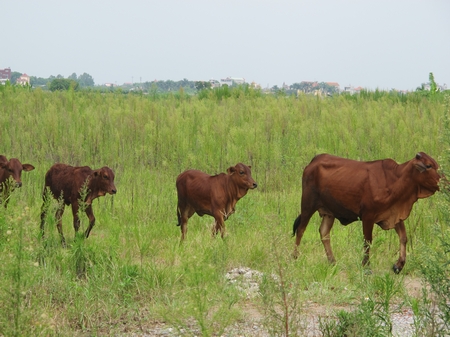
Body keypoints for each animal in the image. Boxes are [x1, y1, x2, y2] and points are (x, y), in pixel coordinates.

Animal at [292, 152, 440, 272]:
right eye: (429, 166)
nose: (444, 181)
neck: (395, 179)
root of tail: (314, 160)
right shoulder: (368, 216)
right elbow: (367, 241)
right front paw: (366, 267)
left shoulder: (394, 215)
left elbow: (403, 237)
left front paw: (398, 265)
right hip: (307, 204)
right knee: (301, 229)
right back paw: (294, 257)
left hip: (329, 213)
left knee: (324, 232)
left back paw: (332, 262)